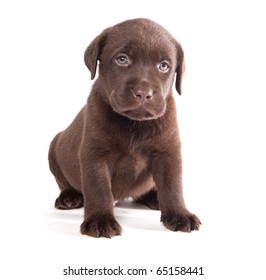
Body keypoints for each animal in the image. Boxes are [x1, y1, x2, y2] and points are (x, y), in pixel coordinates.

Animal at [48, 17, 202, 237]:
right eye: (122, 59)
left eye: (164, 66)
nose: (143, 93)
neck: (135, 124)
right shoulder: (94, 154)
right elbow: (98, 187)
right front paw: (100, 220)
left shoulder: (168, 152)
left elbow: (173, 184)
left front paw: (180, 215)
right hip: (54, 147)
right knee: (64, 182)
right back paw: (69, 196)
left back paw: (154, 197)